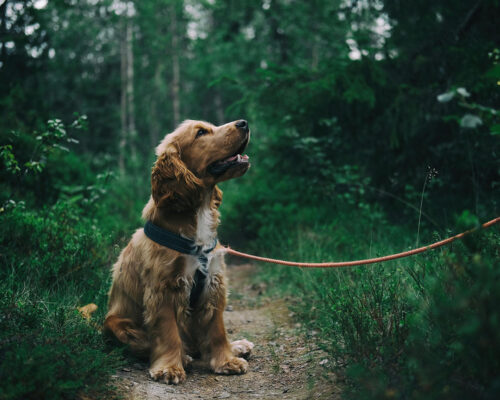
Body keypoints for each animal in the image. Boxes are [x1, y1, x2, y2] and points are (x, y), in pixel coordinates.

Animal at [105, 119, 254, 384]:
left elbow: (217, 330)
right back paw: (184, 357)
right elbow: (168, 333)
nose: (244, 122)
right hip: (118, 324)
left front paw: (227, 360)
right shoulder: (163, 288)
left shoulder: (213, 282)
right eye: (201, 132)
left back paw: (237, 346)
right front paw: (169, 368)